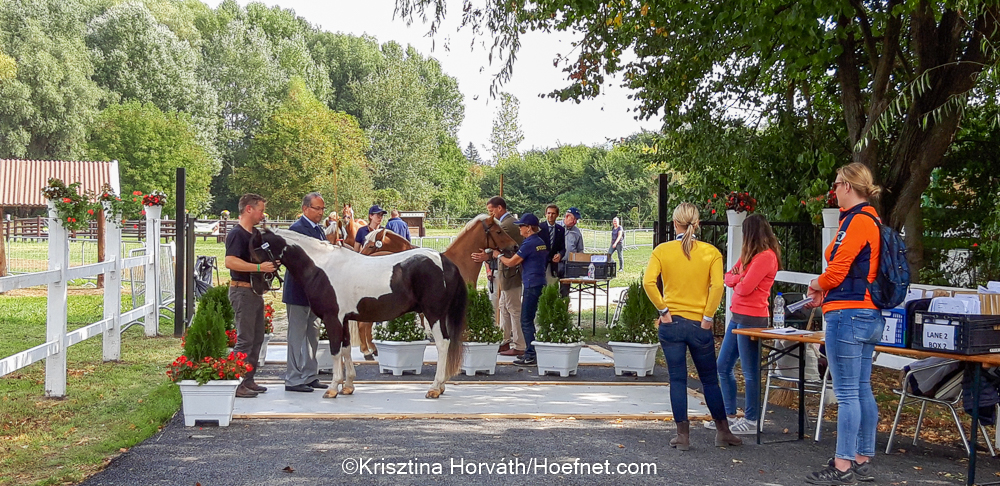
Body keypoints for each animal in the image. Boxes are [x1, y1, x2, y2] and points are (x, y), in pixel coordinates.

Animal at [250, 228, 468, 398]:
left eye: (256, 253)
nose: (256, 286)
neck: (321, 267)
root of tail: (445, 261)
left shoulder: (332, 319)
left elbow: (335, 351)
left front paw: (332, 388)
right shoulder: (344, 320)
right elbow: (346, 349)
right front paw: (347, 387)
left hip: (434, 314)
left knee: (442, 344)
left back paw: (434, 388)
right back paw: (440, 387)